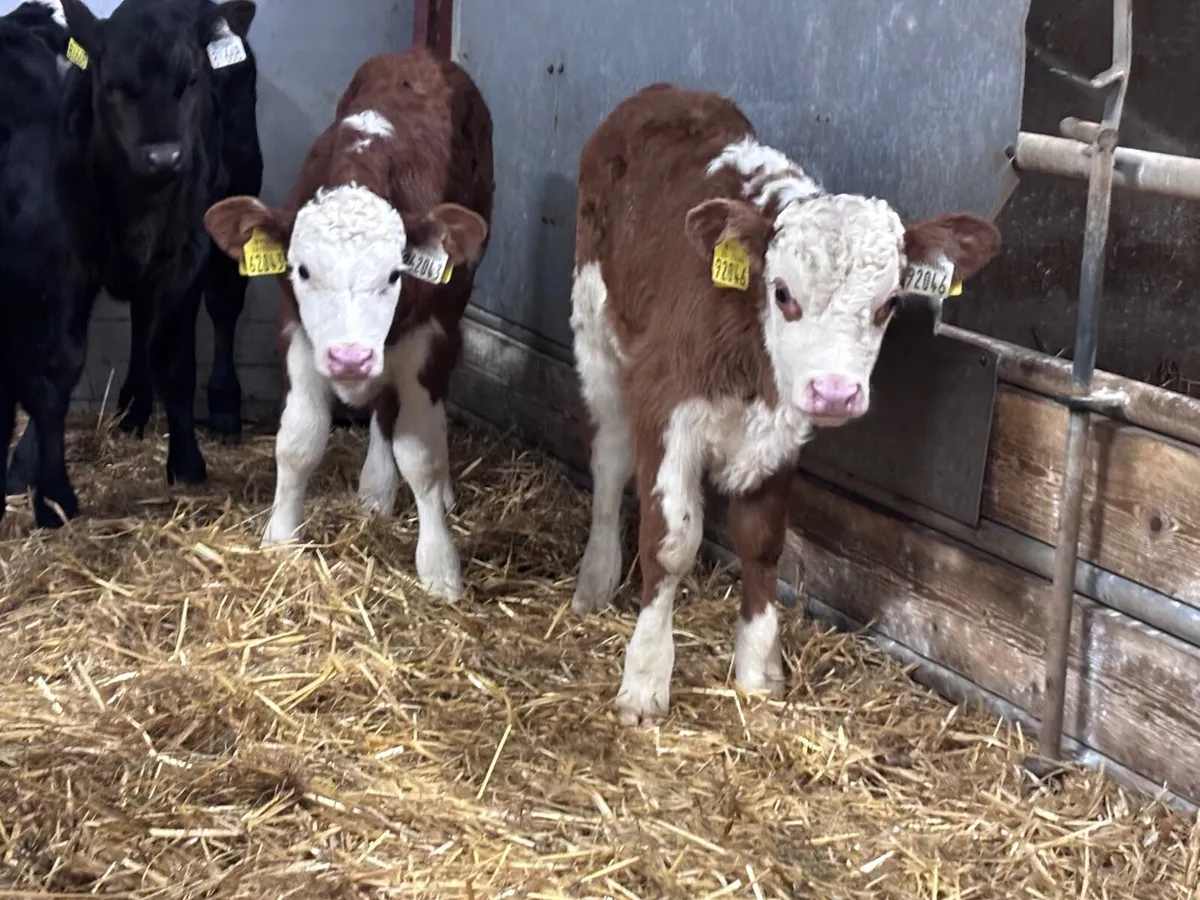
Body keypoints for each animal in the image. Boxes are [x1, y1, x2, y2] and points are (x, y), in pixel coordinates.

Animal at [8, 0, 264, 499]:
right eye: (112, 85)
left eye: (191, 81)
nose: (163, 156)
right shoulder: (66, 260)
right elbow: (58, 361)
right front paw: (30, 466)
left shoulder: (187, 254)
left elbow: (175, 361)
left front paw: (186, 463)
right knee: (143, 319)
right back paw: (132, 406)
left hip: (239, 190)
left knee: (223, 306)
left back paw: (224, 406)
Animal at [202, 47, 493, 600]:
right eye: (302, 270)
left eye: (395, 273)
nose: (350, 357)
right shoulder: (296, 333)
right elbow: (298, 442)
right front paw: (280, 540)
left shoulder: (426, 337)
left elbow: (421, 455)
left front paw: (439, 566)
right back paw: (375, 489)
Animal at [569, 84, 1002, 726]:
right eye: (782, 293)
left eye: (890, 303)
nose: (835, 391)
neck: (752, 357)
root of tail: (667, 93)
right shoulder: (664, 402)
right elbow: (671, 544)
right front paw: (645, 680)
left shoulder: (782, 431)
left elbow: (762, 541)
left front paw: (757, 669)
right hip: (596, 329)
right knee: (609, 455)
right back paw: (596, 578)